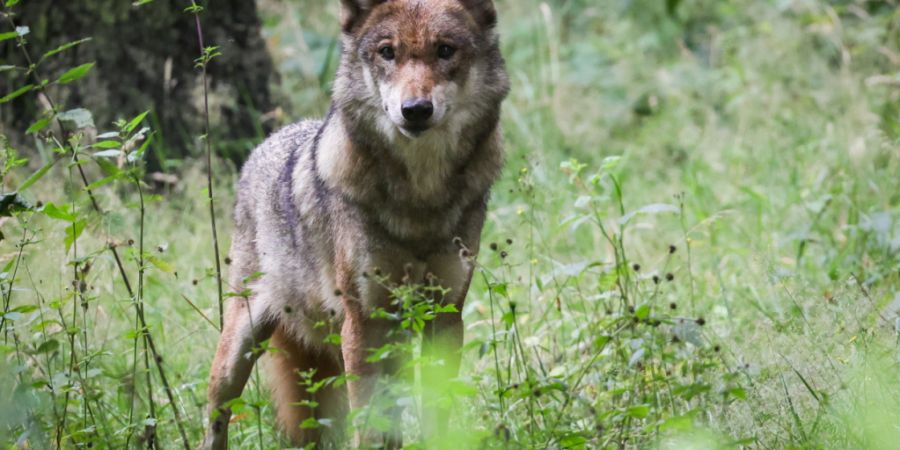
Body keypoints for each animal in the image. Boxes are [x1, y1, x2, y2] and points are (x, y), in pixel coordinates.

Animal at [199, 0, 508, 448]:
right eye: (387, 52)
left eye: (445, 50)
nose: (415, 110)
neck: (420, 199)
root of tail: (265, 143)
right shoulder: (363, 323)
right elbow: (368, 424)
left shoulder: (445, 316)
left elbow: (437, 413)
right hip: (241, 346)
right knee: (216, 413)